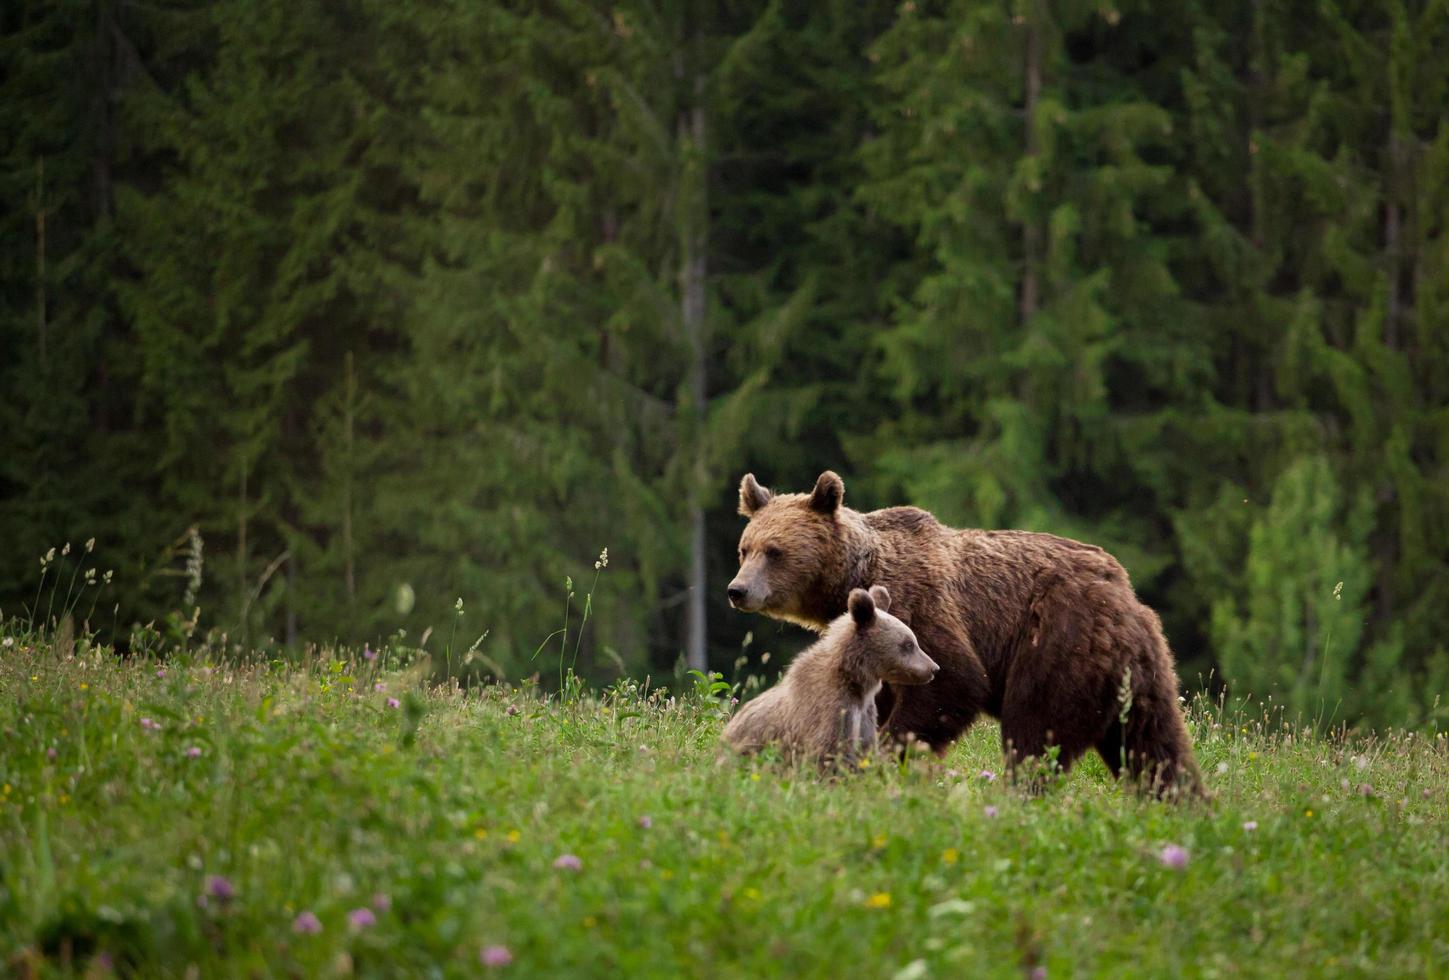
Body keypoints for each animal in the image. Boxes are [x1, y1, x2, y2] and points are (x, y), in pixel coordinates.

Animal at [730, 466, 1205, 794]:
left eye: (775, 551)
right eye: (744, 548)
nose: (738, 590)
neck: (854, 576)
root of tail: (1124, 595)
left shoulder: (921, 607)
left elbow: (955, 680)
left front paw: (889, 753)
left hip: (1057, 646)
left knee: (1035, 732)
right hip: (1141, 672)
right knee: (1155, 744)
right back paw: (1182, 802)